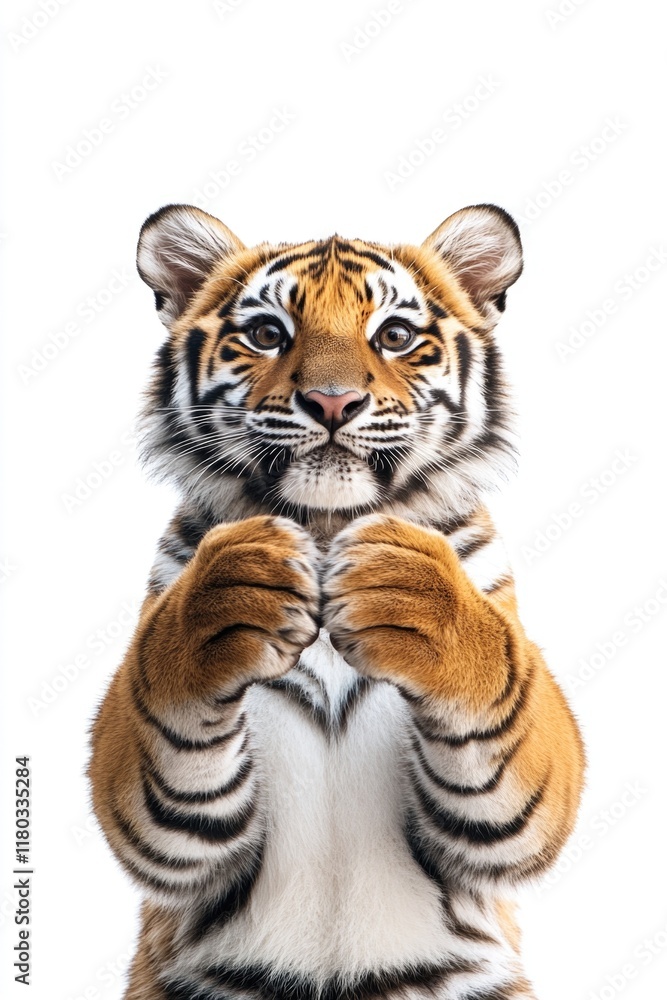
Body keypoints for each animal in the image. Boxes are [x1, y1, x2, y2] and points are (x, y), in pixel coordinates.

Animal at [88, 202, 585, 1000]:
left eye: (394, 336)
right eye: (267, 334)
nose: (331, 402)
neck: (325, 528)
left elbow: (505, 697)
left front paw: (409, 591)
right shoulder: (159, 817)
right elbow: (160, 703)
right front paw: (235, 585)